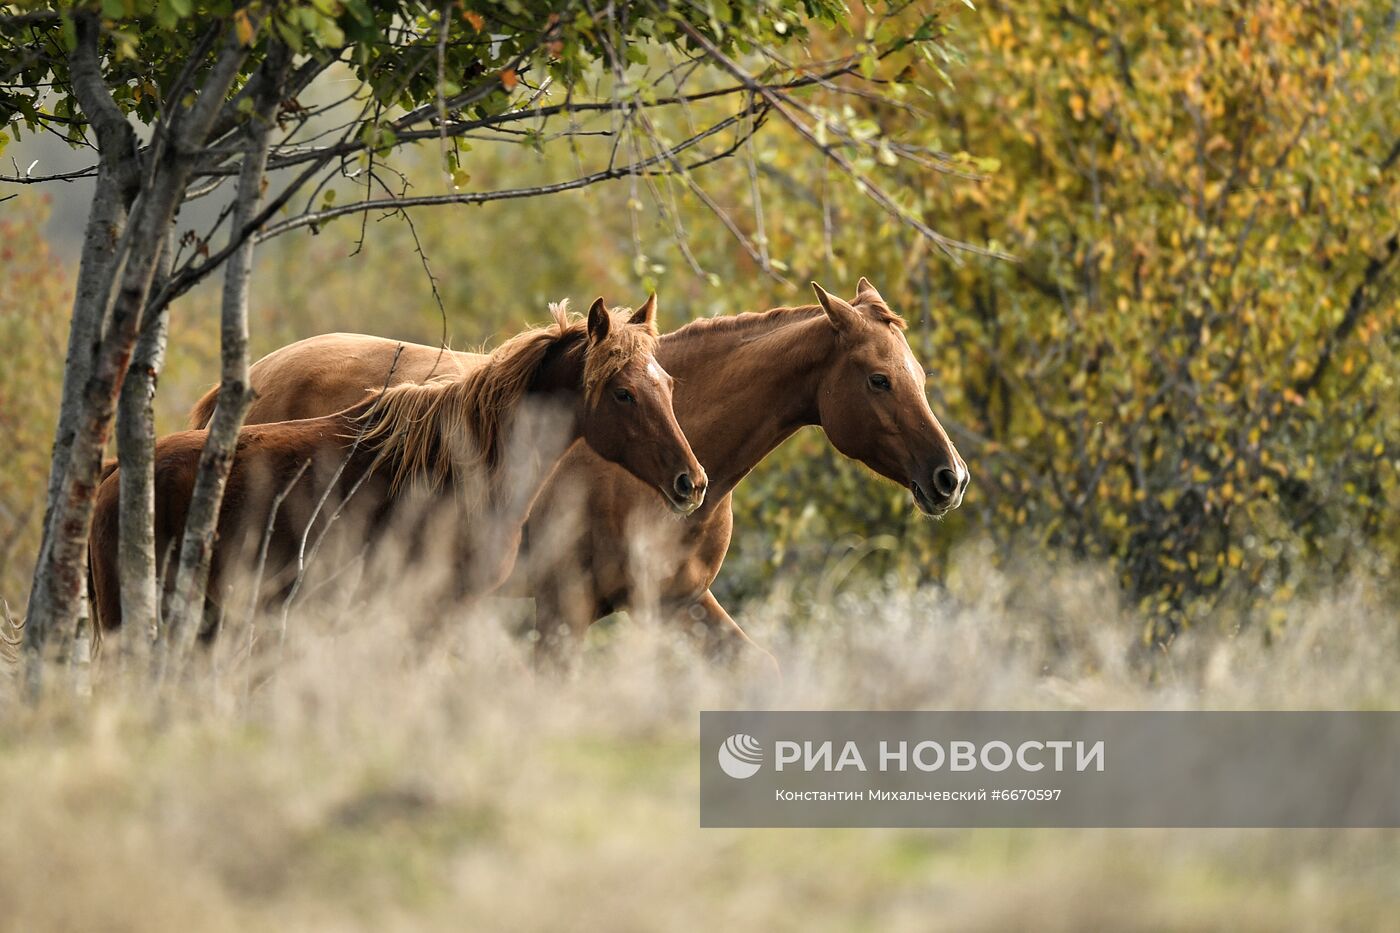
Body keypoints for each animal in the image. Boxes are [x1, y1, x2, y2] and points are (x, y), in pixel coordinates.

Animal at [186, 275, 968, 661]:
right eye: (877, 379)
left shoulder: (681, 603)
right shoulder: (562, 609)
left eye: (921, 376)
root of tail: (249, 380)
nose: (949, 478)